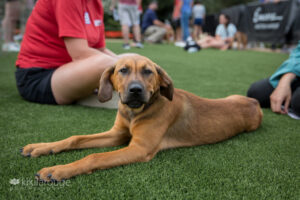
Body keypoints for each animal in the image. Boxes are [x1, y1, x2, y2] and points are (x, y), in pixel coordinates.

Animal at [20, 55, 262, 183]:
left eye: (148, 72)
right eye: (123, 70)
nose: (135, 90)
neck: (134, 113)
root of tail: (255, 103)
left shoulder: (139, 148)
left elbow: (94, 157)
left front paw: (57, 170)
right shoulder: (117, 135)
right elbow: (75, 138)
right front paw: (42, 147)